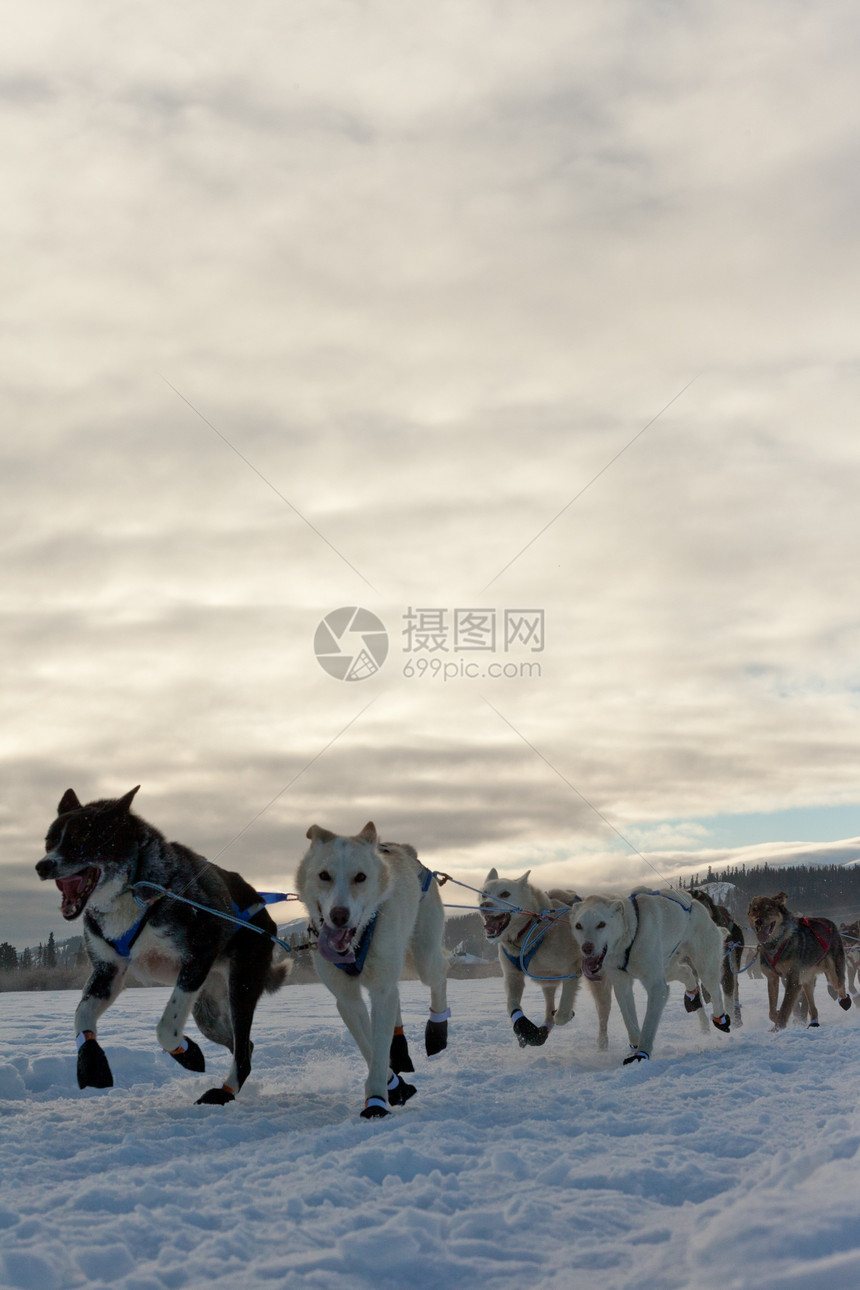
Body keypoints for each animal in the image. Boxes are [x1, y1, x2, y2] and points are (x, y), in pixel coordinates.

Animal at [36, 779, 288, 1104]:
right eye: (50, 841)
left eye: (82, 838)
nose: (42, 866)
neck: (131, 890)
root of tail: (262, 906)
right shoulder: (108, 971)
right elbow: (81, 1016)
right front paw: (91, 1062)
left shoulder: (197, 957)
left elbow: (166, 1028)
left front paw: (187, 1052)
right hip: (208, 1012)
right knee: (244, 1046)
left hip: (240, 988)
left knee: (242, 1052)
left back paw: (223, 1092)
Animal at [297, 825, 451, 1119]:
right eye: (324, 875)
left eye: (360, 877)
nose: (339, 915)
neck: (356, 944)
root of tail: (408, 851)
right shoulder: (347, 999)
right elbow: (369, 1046)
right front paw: (393, 1086)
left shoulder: (380, 990)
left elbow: (378, 1049)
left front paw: (377, 1099)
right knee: (397, 997)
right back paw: (400, 1049)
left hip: (424, 956)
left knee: (439, 976)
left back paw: (437, 1030)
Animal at [482, 872, 616, 1052]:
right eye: (484, 893)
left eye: (505, 894)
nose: (484, 905)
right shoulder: (512, 976)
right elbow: (511, 1004)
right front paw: (524, 1028)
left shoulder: (571, 972)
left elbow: (562, 1014)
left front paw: (566, 1014)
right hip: (547, 982)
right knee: (548, 1008)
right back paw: (543, 1029)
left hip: (598, 986)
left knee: (602, 1014)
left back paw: (602, 1043)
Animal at [567, 892, 732, 1062]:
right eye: (578, 926)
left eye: (601, 924)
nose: (586, 948)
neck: (630, 938)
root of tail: (695, 904)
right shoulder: (621, 984)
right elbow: (629, 1020)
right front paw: (635, 1044)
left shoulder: (657, 987)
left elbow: (649, 1024)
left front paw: (641, 1053)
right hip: (668, 968)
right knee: (687, 972)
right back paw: (694, 1001)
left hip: (704, 965)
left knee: (715, 991)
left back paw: (720, 1019)